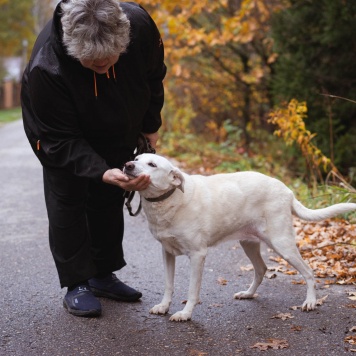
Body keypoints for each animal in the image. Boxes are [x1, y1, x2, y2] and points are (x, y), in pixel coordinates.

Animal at [123, 154, 356, 322]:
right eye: (136, 158)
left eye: (152, 164)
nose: (127, 165)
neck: (169, 199)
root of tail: (287, 190)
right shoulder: (167, 253)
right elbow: (168, 285)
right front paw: (164, 306)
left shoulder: (198, 255)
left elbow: (192, 290)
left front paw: (185, 314)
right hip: (248, 243)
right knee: (261, 269)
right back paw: (248, 294)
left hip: (282, 243)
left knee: (308, 271)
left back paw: (310, 302)